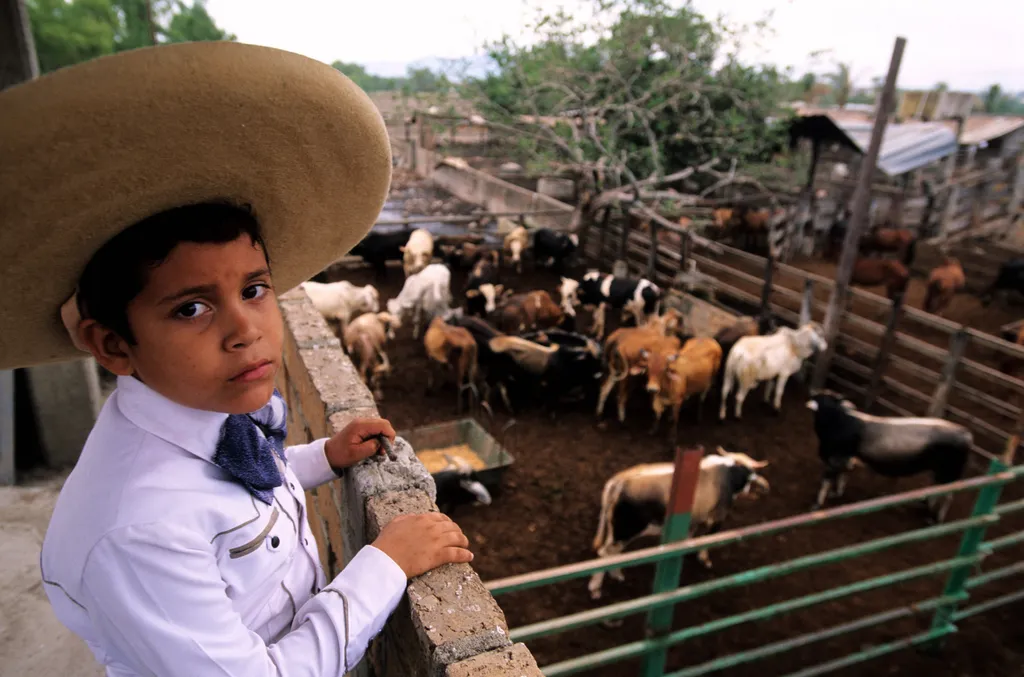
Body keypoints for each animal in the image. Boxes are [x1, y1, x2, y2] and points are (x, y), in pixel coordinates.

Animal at [585, 448, 770, 598]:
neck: (728, 473)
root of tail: (619, 481)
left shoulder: (694, 519)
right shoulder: (717, 518)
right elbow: (707, 541)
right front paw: (704, 559)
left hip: (616, 529)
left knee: (612, 554)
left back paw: (616, 575)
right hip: (627, 529)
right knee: (605, 553)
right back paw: (595, 588)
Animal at [806, 391, 966, 522]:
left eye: (822, 401)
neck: (838, 420)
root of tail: (966, 435)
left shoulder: (835, 457)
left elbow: (826, 481)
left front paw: (817, 505)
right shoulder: (844, 457)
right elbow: (842, 475)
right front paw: (836, 493)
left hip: (949, 472)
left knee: (948, 496)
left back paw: (935, 518)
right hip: (940, 471)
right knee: (937, 490)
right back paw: (926, 506)